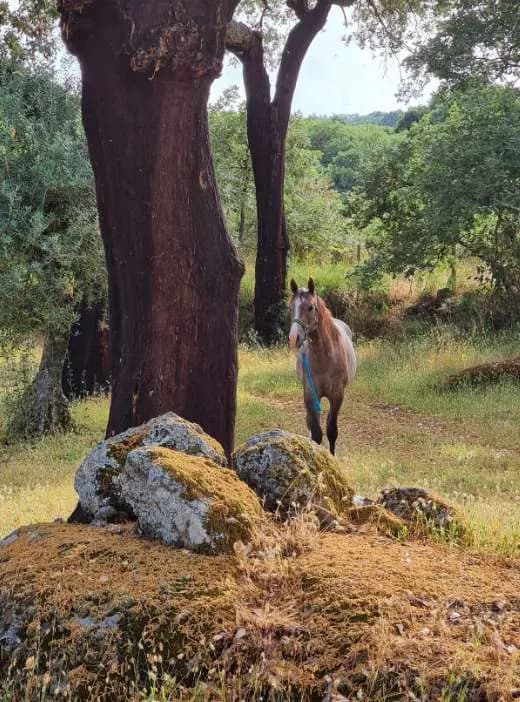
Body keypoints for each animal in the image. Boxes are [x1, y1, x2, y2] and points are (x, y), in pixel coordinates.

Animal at [288, 277, 357, 455]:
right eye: (290, 308)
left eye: (310, 307)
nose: (294, 338)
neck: (325, 355)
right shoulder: (310, 394)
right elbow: (316, 433)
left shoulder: (337, 394)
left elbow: (331, 430)